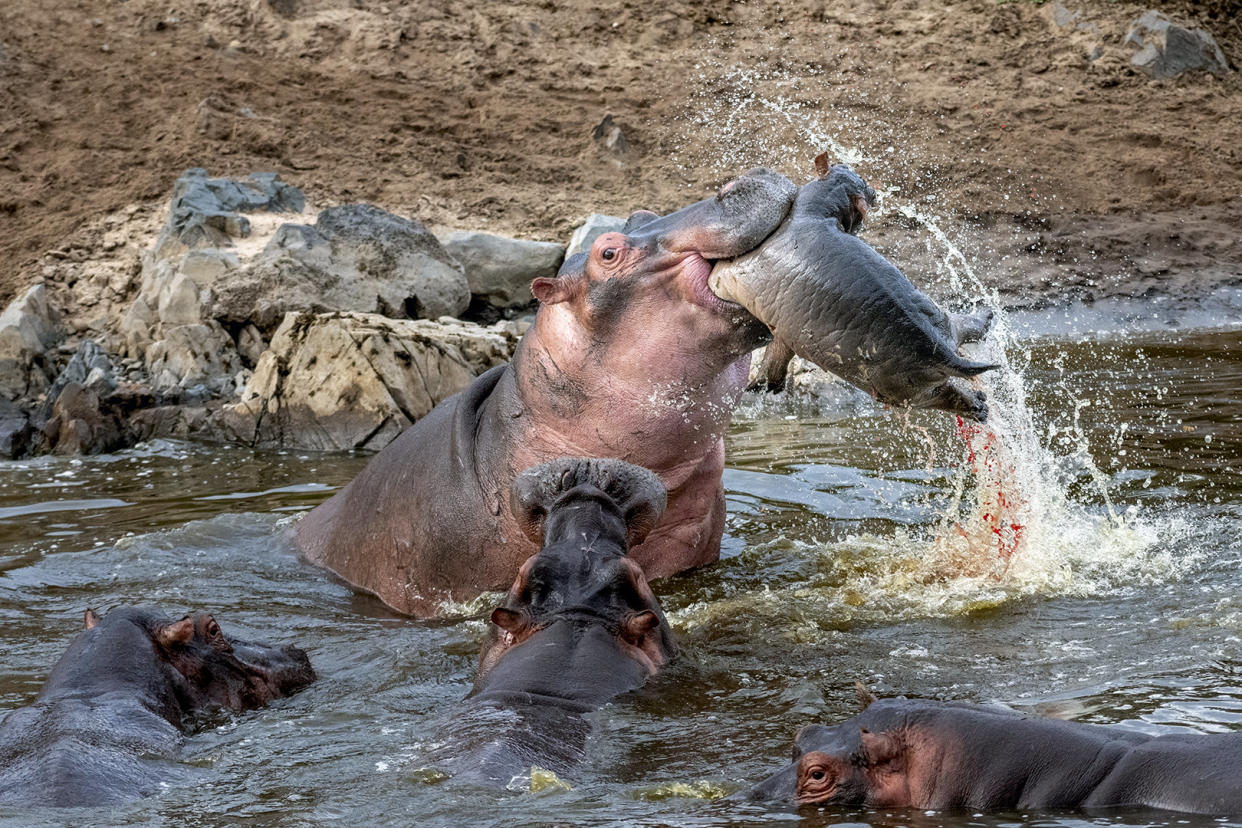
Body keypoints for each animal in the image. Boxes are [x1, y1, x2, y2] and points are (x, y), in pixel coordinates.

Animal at [710, 157, 998, 422]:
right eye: (848, 171)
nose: (872, 187)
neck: (818, 211)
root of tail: (945, 353)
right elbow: (777, 355)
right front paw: (766, 384)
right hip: (938, 327)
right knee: (960, 331)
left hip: (900, 388)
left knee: (941, 395)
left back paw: (978, 406)